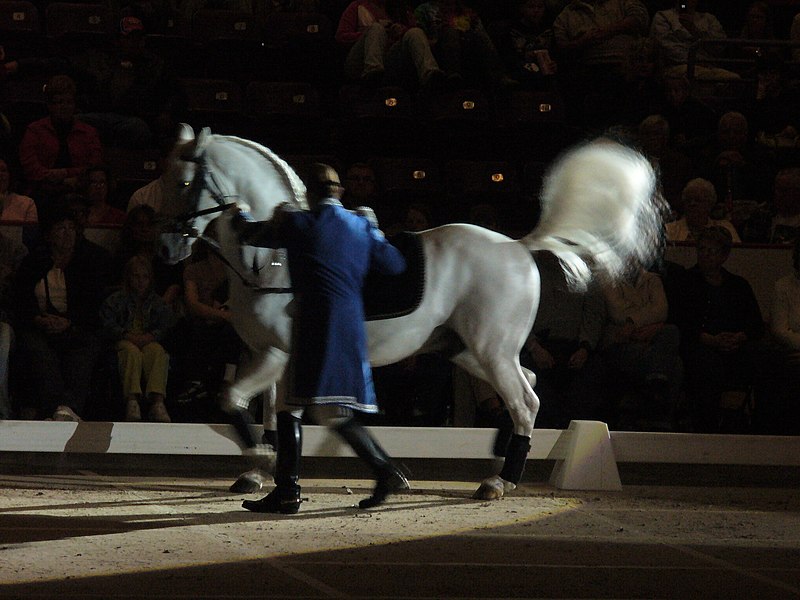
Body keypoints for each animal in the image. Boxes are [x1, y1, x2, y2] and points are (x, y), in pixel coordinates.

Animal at [161, 125, 664, 502]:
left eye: (184, 183)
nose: (168, 247)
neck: (272, 256)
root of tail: (519, 247)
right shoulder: (271, 356)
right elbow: (272, 414)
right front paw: (261, 474)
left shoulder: (278, 355)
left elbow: (234, 400)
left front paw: (261, 465)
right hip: (464, 350)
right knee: (530, 386)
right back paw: (494, 460)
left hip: (491, 349)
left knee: (525, 400)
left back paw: (499, 481)